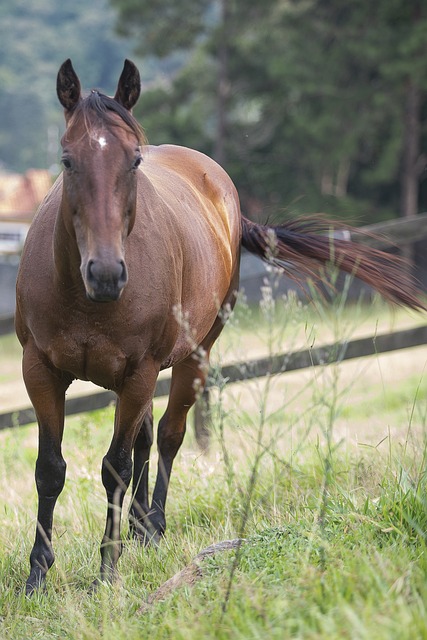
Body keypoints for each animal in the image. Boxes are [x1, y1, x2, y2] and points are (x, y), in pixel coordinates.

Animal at [15, 60, 424, 596]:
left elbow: (115, 467)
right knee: (147, 438)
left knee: (168, 435)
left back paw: (152, 528)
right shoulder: (40, 370)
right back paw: (139, 526)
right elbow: (51, 469)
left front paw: (107, 571)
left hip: (193, 355)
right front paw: (37, 574)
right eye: (67, 160)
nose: (105, 273)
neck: (86, 298)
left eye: (134, 162)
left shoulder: (138, 373)